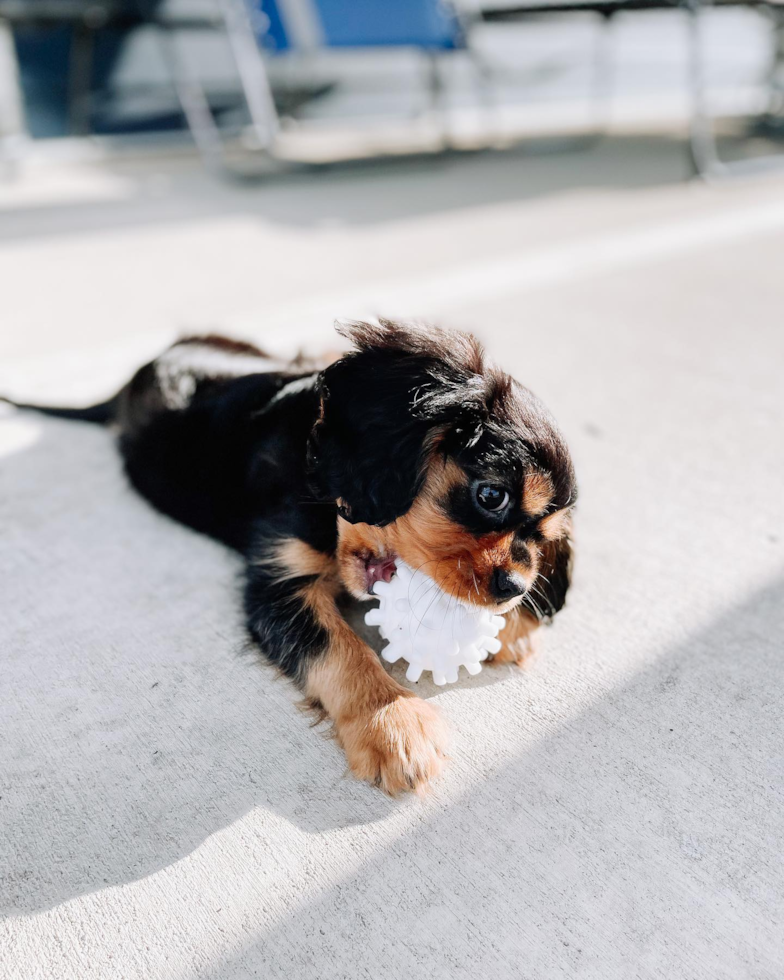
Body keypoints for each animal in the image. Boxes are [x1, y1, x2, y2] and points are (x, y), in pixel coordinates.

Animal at [13, 322, 576, 796]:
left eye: (546, 536)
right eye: (491, 495)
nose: (514, 589)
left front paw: (515, 626)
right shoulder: (278, 584)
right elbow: (341, 649)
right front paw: (394, 724)